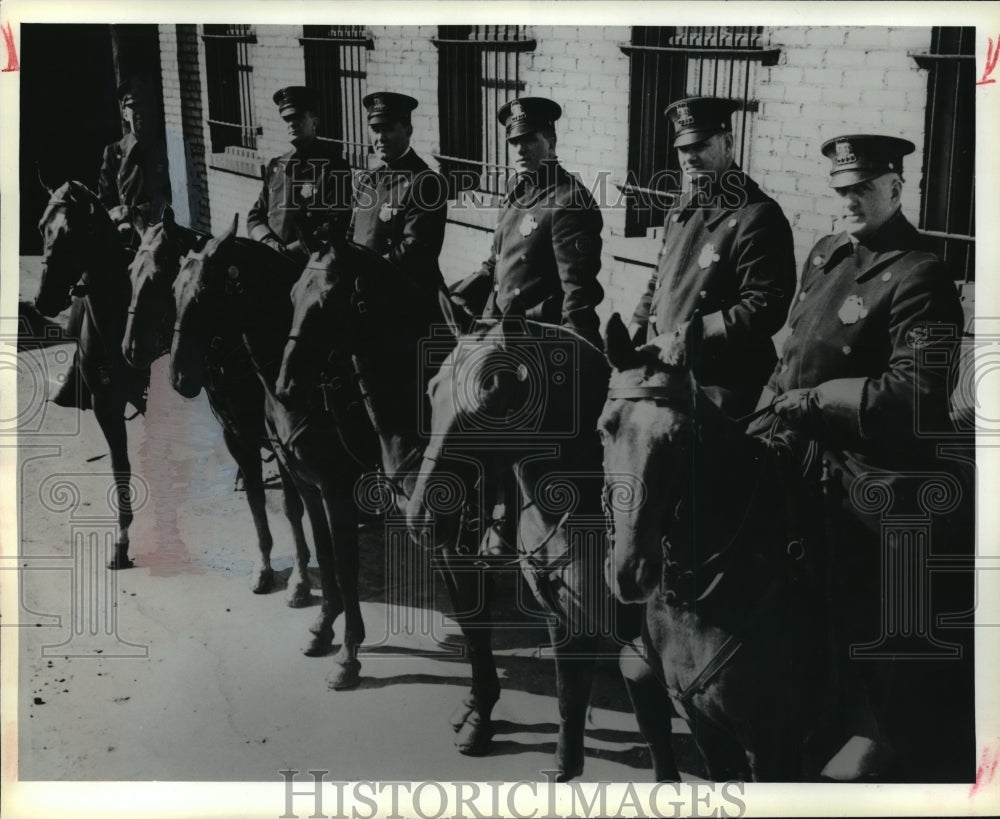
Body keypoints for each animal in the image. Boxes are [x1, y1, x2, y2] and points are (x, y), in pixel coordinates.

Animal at [34, 179, 146, 572]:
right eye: (41, 226)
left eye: (75, 231)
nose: (45, 299)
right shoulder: (105, 402)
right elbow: (120, 467)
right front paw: (122, 546)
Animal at [122, 208, 314, 604]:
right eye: (130, 271)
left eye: (158, 277)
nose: (129, 349)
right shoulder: (236, 435)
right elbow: (257, 502)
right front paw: (263, 568)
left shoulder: (281, 443)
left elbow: (292, 507)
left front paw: (300, 579)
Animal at [170, 215, 376, 688]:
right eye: (172, 291)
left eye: (204, 295)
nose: (178, 377)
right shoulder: (286, 464)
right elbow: (307, 536)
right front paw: (320, 623)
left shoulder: (333, 484)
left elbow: (339, 558)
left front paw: (347, 651)